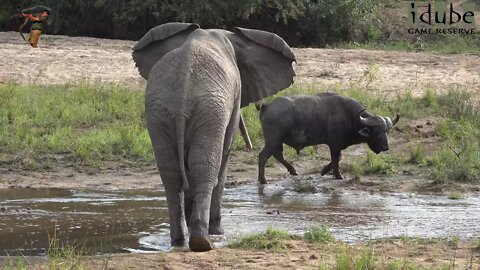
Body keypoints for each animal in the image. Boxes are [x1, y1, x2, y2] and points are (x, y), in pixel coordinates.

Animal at [132, 22, 296, 251]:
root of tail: (183, 83)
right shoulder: (233, 98)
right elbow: (225, 154)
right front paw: (218, 232)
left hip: (159, 110)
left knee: (172, 173)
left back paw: (179, 241)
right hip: (209, 110)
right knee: (206, 166)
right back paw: (203, 242)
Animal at [256, 92, 400, 184]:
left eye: (387, 131)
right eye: (377, 132)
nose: (386, 147)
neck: (350, 117)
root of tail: (266, 106)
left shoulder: (337, 145)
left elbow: (338, 158)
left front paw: (324, 171)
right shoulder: (334, 144)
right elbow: (336, 159)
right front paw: (338, 175)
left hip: (276, 142)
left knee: (277, 155)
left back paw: (292, 170)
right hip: (272, 140)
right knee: (263, 156)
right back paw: (263, 180)